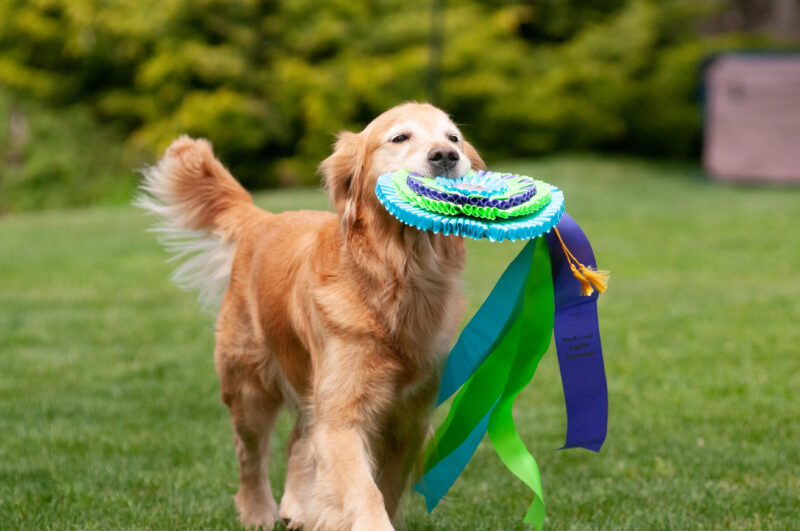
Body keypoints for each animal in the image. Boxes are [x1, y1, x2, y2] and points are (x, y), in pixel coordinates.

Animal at [137, 102, 484, 528]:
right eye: (400, 137)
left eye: (454, 138)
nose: (446, 156)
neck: (396, 278)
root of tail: (263, 218)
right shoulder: (342, 414)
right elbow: (363, 490)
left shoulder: (408, 419)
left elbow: (386, 488)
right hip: (248, 383)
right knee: (249, 454)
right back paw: (259, 511)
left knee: (297, 440)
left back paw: (296, 507)